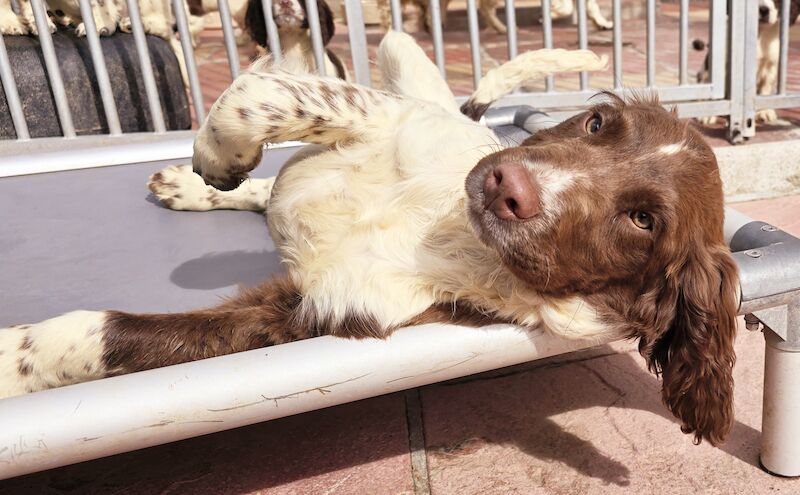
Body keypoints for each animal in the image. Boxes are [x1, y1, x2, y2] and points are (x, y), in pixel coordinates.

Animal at [0, 34, 736, 446]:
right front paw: (215, 157)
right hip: (403, 61)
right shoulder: (384, 113)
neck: (447, 229)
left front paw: (11, 356)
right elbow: (261, 90)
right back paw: (194, 183)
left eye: (643, 220)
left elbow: (117, 332)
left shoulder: (307, 313)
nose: (508, 183)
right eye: (596, 124)